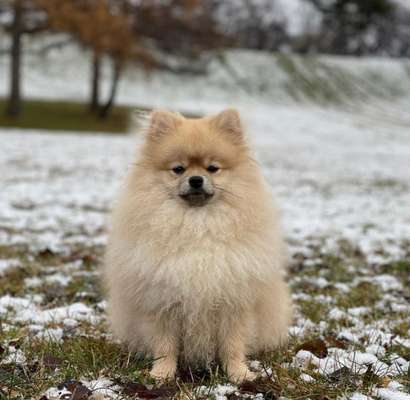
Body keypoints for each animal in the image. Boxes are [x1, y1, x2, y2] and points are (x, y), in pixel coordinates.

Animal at [104, 108, 294, 382]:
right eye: (178, 169)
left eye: (213, 168)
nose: (195, 179)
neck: (198, 225)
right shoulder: (162, 302)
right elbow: (165, 345)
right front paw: (162, 373)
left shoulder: (234, 302)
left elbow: (232, 345)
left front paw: (239, 373)